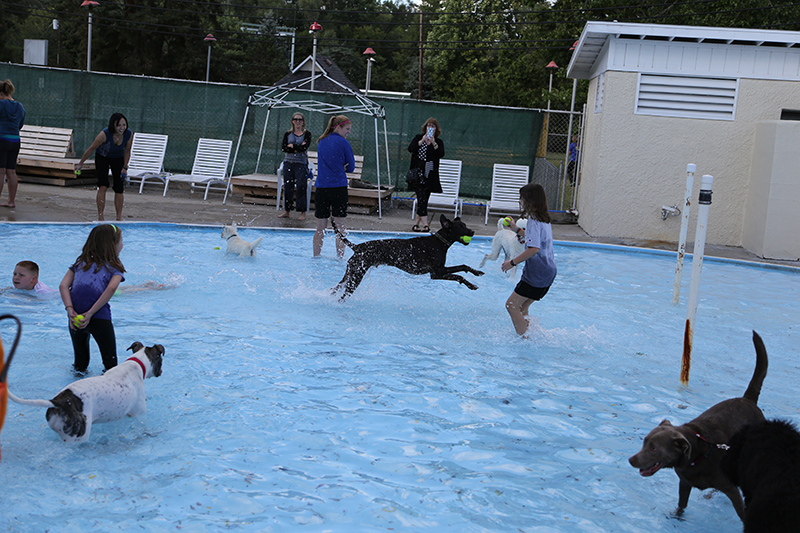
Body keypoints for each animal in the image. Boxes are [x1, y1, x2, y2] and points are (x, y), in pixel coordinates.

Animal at [8, 340, 165, 440]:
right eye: (161, 360)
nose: (161, 371)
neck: (135, 364)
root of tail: (59, 402)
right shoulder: (139, 414)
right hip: (78, 435)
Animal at [330, 215, 482, 300]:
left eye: (465, 225)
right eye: (461, 226)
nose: (473, 232)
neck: (439, 242)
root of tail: (357, 247)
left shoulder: (437, 273)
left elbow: (462, 268)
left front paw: (476, 272)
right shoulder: (437, 272)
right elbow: (459, 272)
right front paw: (471, 284)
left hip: (350, 273)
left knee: (335, 288)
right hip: (356, 276)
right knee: (344, 295)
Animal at [632, 330, 768, 516]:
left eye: (653, 448)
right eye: (644, 442)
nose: (631, 460)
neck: (699, 453)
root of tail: (748, 400)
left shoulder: (731, 490)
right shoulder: (684, 483)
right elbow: (681, 505)